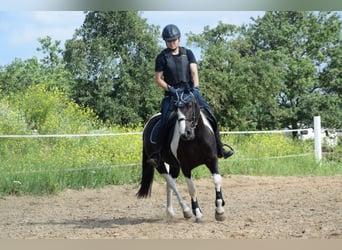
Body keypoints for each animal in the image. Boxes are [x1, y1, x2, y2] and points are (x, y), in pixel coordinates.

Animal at [136, 88, 227, 223]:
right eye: (175, 109)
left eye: (190, 105)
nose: (186, 133)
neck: (196, 138)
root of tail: (148, 124)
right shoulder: (186, 167)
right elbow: (192, 189)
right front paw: (198, 214)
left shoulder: (212, 160)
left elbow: (217, 180)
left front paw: (220, 211)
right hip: (160, 165)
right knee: (172, 184)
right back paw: (186, 210)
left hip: (174, 165)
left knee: (169, 185)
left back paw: (171, 211)